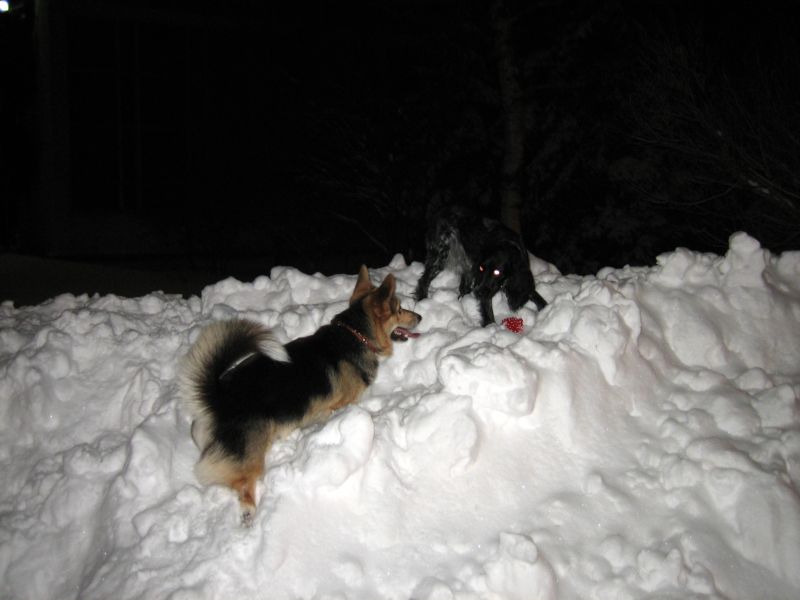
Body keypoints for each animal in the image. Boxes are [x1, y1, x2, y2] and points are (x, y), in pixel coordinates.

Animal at [179, 266, 421, 525]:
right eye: (399, 309)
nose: (420, 317)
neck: (357, 334)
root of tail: (216, 397)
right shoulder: (340, 405)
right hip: (250, 455)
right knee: (242, 483)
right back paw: (248, 513)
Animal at [415, 205, 547, 326]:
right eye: (482, 268)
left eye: (497, 272)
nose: (478, 293)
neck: (508, 244)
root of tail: (441, 212)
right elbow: (489, 316)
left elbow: (536, 296)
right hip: (440, 256)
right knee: (424, 281)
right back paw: (422, 301)